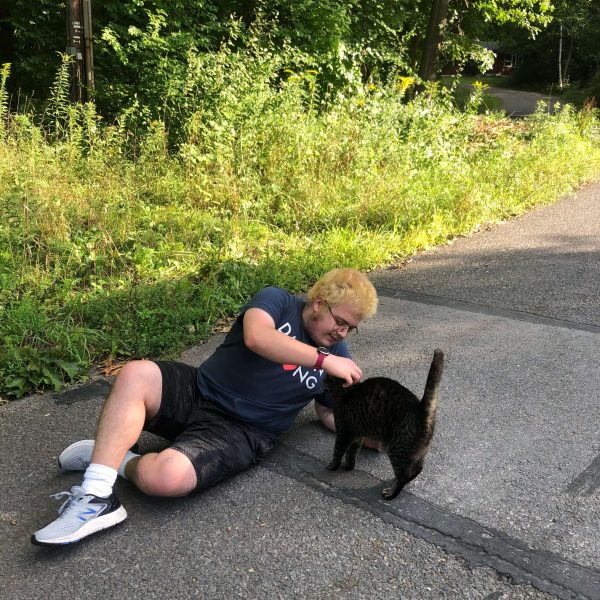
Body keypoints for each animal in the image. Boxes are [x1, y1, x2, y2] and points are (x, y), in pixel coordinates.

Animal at [326, 350, 442, 500]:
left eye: (325, 378)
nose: (322, 381)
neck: (347, 391)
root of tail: (421, 410)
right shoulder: (357, 435)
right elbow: (352, 452)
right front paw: (348, 466)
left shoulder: (343, 433)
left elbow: (338, 451)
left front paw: (333, 466)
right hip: (415, 452)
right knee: (416, 469)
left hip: (396, 449)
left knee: (403, 475)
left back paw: (391, 493)